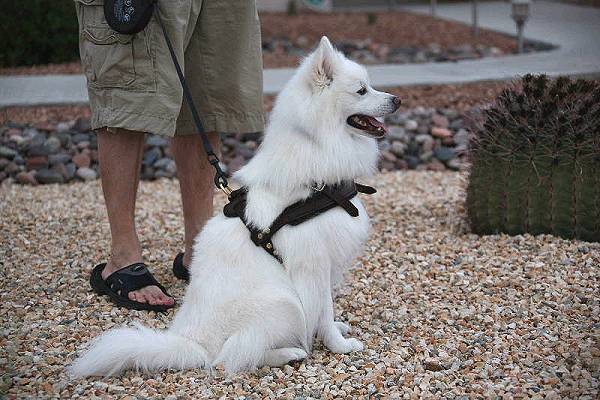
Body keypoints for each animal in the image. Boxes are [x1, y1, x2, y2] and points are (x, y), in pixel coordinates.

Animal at [71, 36, 398, 376]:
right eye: (361, 90)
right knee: (230, 357)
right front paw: (340, 345)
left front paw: (336, 330)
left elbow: (326, 311)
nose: (397, 100)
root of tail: (193, 344)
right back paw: (289, 353)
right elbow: (323, 310)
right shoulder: (313, 265)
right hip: (284, 303)